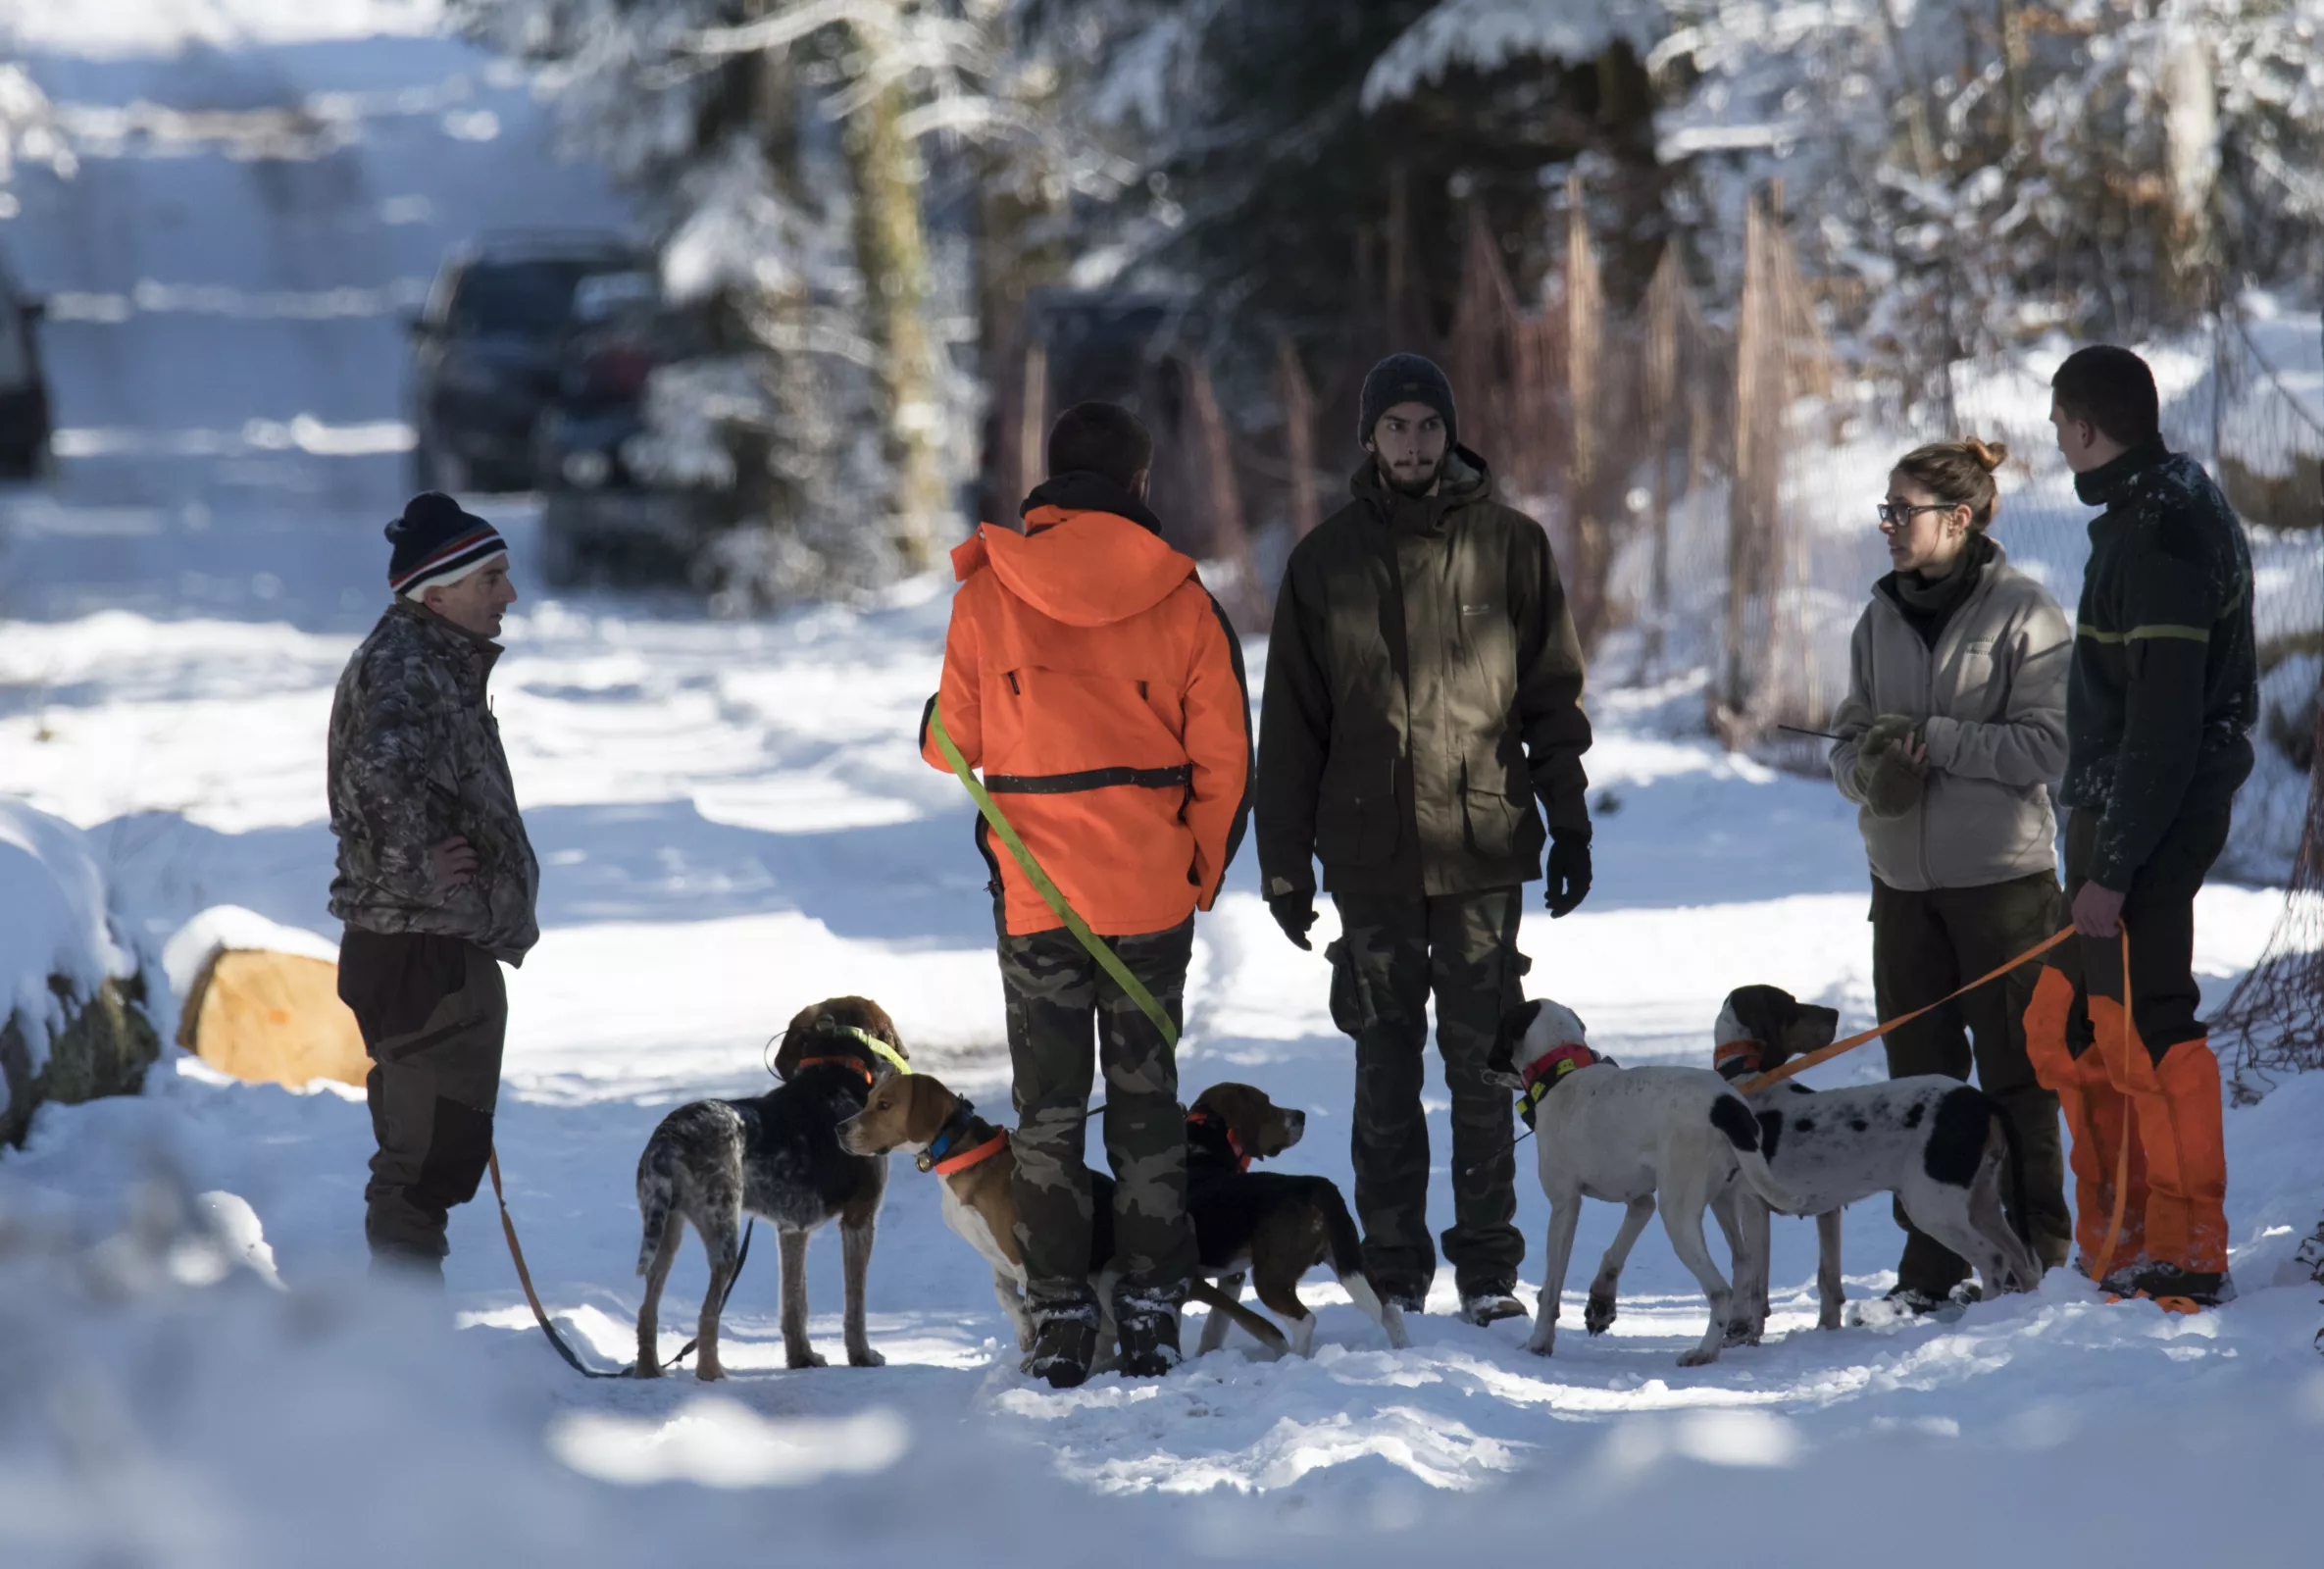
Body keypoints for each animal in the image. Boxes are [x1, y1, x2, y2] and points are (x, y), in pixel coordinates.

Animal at [636, 999, 906, 1385]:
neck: (835, 1073)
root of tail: (670, 1137)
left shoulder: (792, 1229)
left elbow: (795, 1303)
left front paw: (802, 1358)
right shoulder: (860, 1218)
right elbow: (855, 1304)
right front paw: (863, 1356)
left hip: (665, 1230)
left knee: (648, 1308)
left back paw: (648, 1370)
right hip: (723, 1232)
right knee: (707, 1313)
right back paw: (712, 1373)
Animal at [1496, 999, 1803, 1366]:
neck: (1562, 1073)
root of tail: (1726, 1105)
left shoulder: (1564, 1206)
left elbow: (1551, 1292)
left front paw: (1539, 1342)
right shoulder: (1640, 1201)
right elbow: (1614, 1252)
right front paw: (1601, 1301)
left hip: (1678, 1214)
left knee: (1720, 1292)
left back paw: (1703, 1351)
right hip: (1723, 1199)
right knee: (1742, 1262)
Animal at [1719, 981, 2045, 1339]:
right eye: (1790, 1005)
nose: (1834, 1014)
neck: (1746, 1078)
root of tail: (1981, 1100)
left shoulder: (1752, 1205)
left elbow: (1756, 1286)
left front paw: (1748, 1336)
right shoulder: (1826, 1211)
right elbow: (1827, 1281)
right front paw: (1826, 1330)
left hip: (1934, 1208)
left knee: (1995, 1260)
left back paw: (1980, 1319)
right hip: (1981, 1203)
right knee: (2025, 1263)